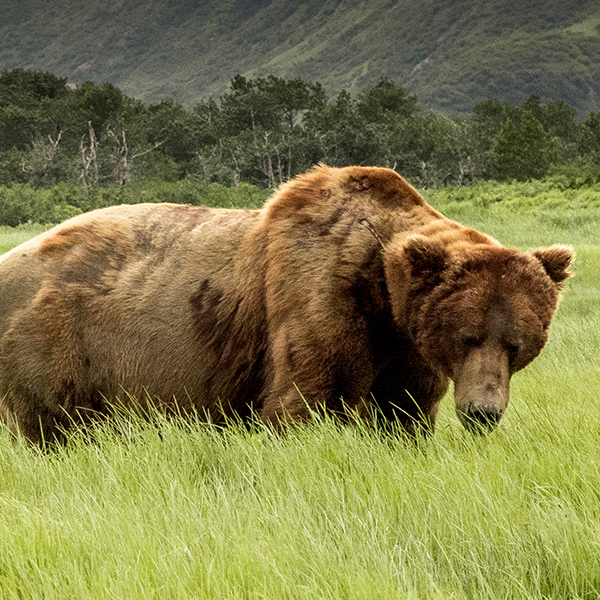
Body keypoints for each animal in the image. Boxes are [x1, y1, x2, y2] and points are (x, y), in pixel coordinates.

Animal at [0, 166, 572, 442]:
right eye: (467, 335)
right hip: (54, 340)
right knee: (50, 424)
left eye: (517, 343)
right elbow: (303, 401)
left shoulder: (406, 344)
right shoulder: (317, 293)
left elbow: (403, 411)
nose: (482, 413)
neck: (383, 294)